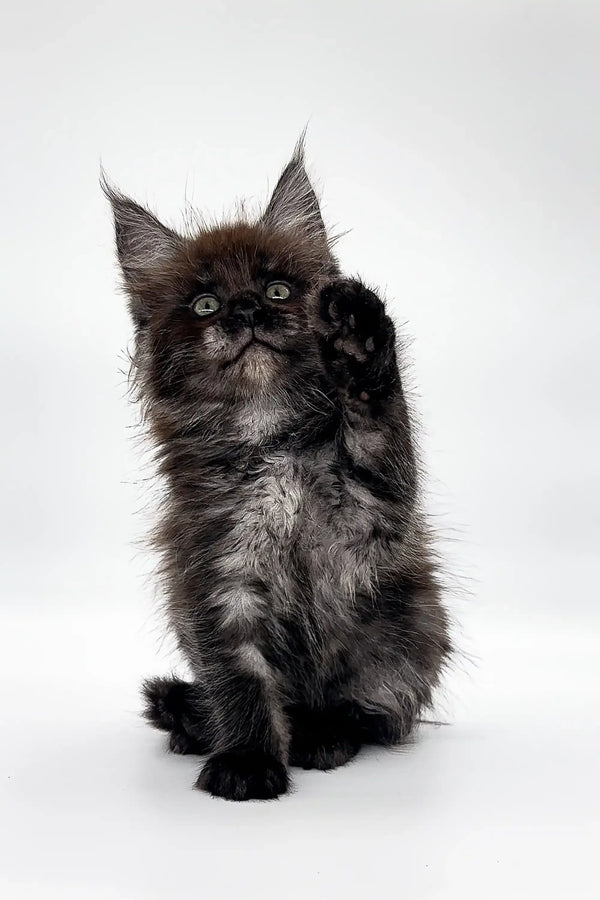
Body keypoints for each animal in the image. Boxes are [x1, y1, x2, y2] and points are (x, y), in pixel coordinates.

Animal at [104, 139, 450, 800]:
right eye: (205, 304)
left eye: (279, 291)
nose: (244, 310)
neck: (272, 449)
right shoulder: (217, 580)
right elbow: (240, 681)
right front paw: (246, 760)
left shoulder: (374, 508)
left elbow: (379, 421)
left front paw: (358, 338)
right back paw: (194, 728)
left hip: (409, 630)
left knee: (371, 710)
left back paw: (322, 735)